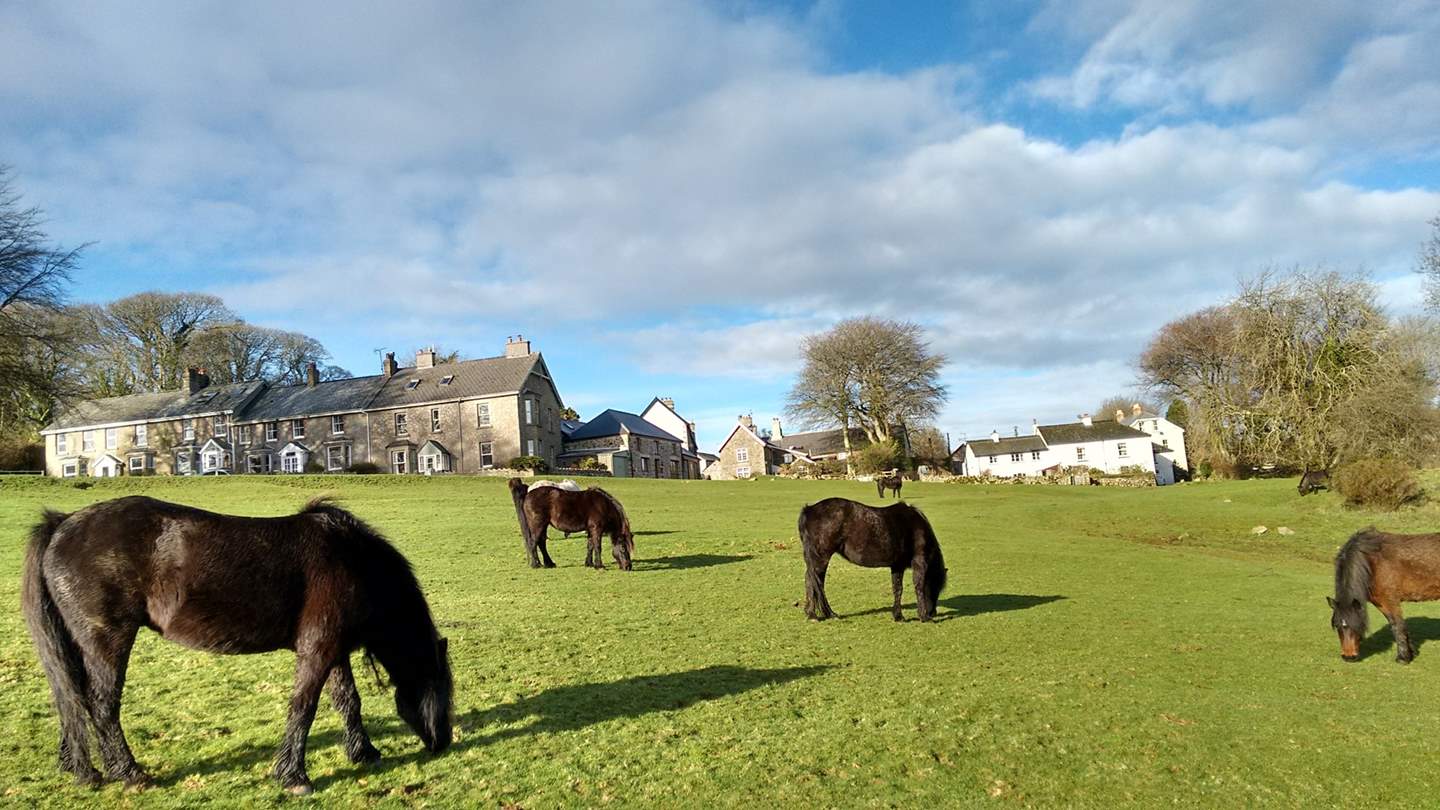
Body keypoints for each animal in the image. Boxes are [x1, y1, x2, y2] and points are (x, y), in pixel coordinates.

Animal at [21, 496, 452, 794]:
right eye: (445, 690)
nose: (443, 743)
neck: (352, 559)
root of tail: (62, 524)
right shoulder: (317, 650)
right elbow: (304, 707)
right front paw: (293, 776)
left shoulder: (333, 650)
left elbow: (348, 700)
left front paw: (364, 753)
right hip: (108, 640)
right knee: (100, 705)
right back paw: (129, 774)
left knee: (69, 698)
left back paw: (79, 768)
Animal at [797, 497, 947, 622]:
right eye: (936, 587)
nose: (932, 612)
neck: (916, 525)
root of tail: (809, 510)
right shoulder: (919, 562)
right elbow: (919, 586)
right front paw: (923, 617)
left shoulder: (897, 565)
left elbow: (897, 589)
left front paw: (898, 616)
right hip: (821, 559)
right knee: (815, 583)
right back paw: (823, 614)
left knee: (810, 581)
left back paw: (813, 614)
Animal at [1329, 528, 1440, 664]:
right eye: (1337, 625)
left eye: (1357, 624)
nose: (1348, 657)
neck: (1372, 562)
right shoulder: (1381, 603)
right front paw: (1410, 653)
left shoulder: (1390, 600)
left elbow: (1397, 626)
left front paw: (1403, 658)